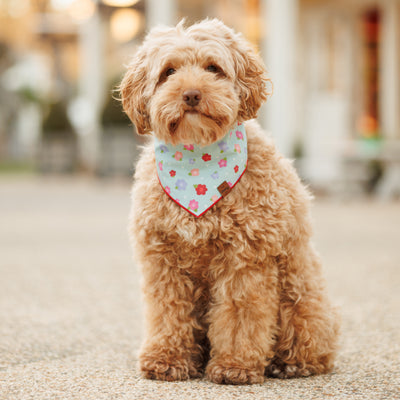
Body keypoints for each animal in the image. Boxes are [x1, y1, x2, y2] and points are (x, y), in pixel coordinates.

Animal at [120, 18, 340, 384]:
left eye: (213, 68)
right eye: (168, 72)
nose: (191, 95)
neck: (197, 163)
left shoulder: (245, 258)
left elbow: (240, 312)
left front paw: (234, 365)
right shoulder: (163, 260)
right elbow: (168, 310)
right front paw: (166, 358)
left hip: (300, 296)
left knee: (309, 342)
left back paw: (290, 363)